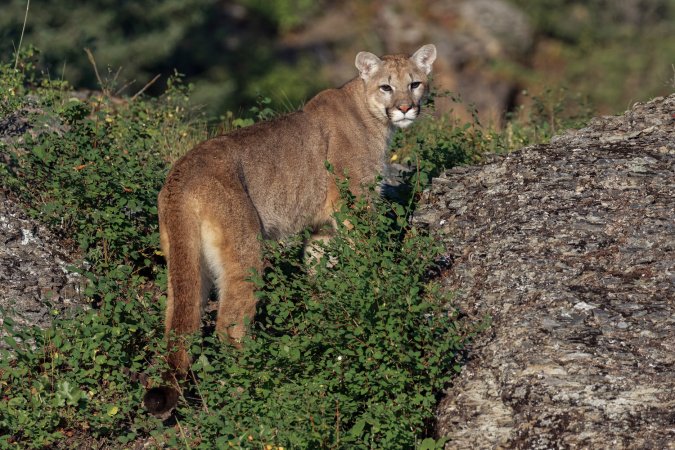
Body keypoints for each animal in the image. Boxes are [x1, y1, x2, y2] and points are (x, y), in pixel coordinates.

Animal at [145, 44, 436, 416]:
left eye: (414, 84)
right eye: (386, 87)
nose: (405, 108)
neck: (368, 113)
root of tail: (179, 177)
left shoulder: (325, 226)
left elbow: (320, 263)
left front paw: (329, 307)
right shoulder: (356, 204)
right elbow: (369, 254)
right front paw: (382, 290)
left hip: (183, 262)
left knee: (178, 326)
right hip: (245, 251)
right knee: (230, 326)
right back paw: (258, 378)